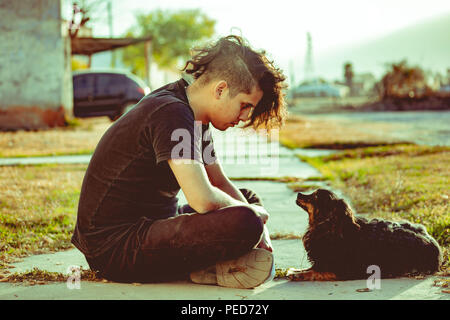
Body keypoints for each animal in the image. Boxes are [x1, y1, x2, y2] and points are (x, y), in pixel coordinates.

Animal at [288, 189, 442, 282]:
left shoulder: (341, 269)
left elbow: (314, 272)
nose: (299, 194)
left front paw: (298, 274)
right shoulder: (322, 261)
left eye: (314, 197)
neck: (329, 225)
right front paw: (295, 270)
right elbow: (312, 268)